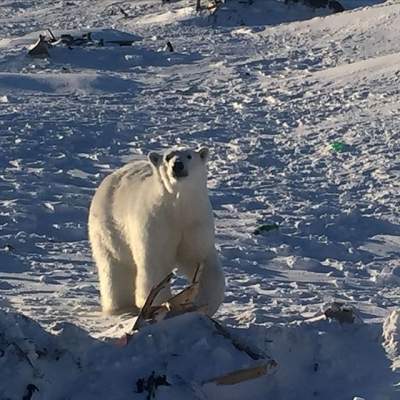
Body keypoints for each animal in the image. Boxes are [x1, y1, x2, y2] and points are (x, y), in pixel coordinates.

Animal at [88, 146, 225, 316]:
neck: (178, 206)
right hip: (107, 227)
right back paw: (121, 308)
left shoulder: (194, 222)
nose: (177, 165)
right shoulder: (156, 222)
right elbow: (156, 263)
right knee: (114, 266)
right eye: (167, 157)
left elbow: (201, 261)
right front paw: (159, 305)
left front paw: (200, 304)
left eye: (189, 156)